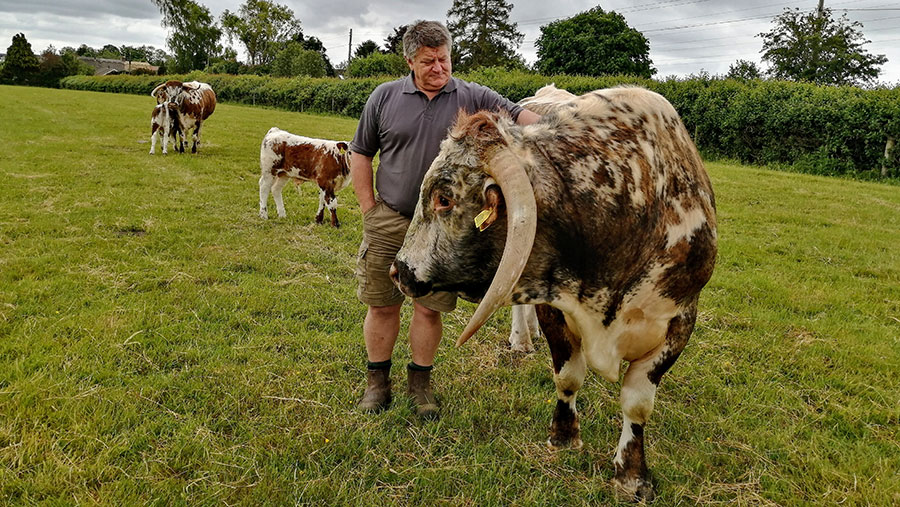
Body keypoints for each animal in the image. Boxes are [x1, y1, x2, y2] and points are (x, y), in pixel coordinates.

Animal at [390, 85, 720, 502]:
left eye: (444, 198)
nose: (398, 271)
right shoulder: (554, 304)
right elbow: (568, 377)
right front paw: (563, 436)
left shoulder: (680, 322)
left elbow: (638, 403)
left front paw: (632, 475)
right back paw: (521, 340)